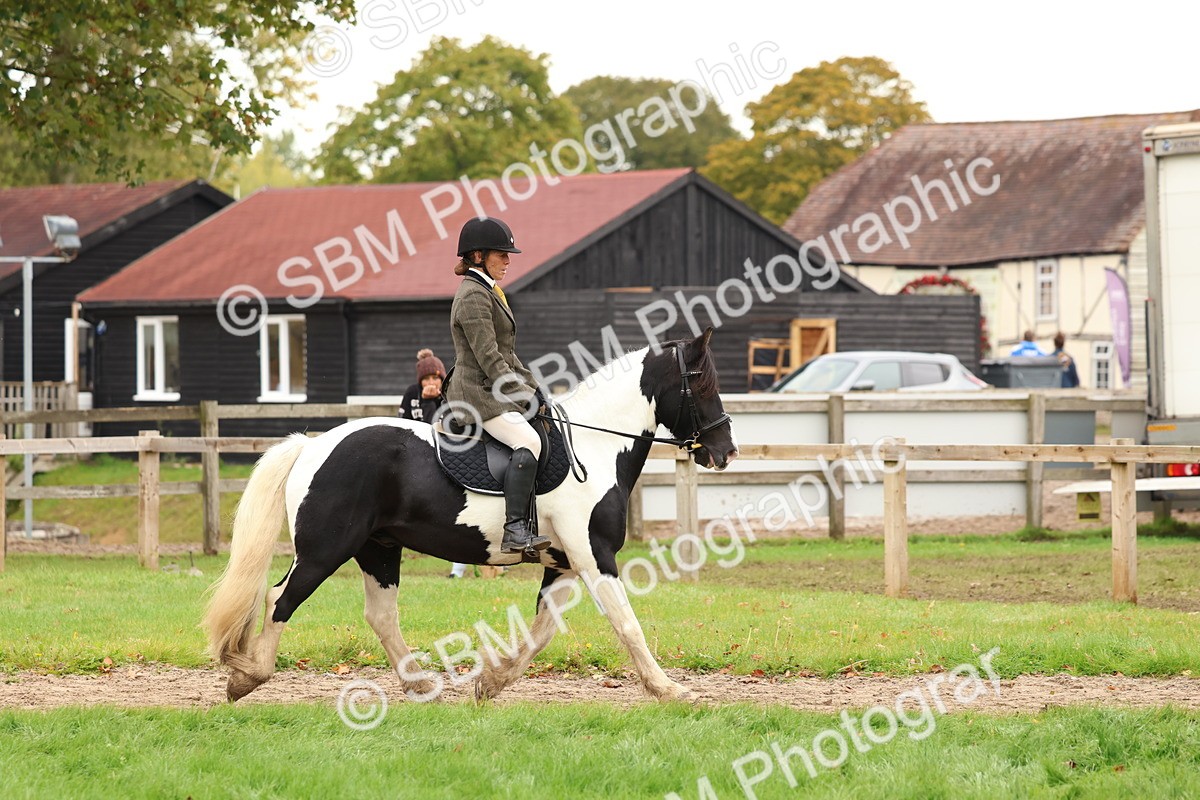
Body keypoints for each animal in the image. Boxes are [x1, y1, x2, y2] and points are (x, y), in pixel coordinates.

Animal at [203, 328, 739, 703]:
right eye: (702, 383)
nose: (726, 451)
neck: (595, 445)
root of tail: (313, 446)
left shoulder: (564, 562)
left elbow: (542, 630)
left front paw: (492, 682)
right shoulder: (593, 554)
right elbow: (626, 622)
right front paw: (669, 689)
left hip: (378, 548)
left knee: (380, 614)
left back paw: (419, 685)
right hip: (325, 550)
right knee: (280, 599)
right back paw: (248, 678)